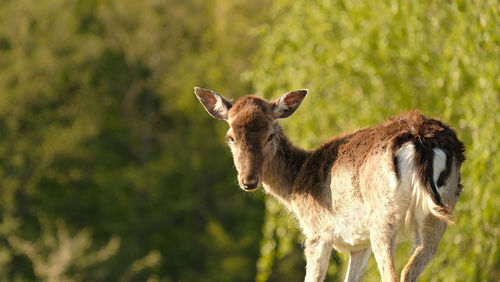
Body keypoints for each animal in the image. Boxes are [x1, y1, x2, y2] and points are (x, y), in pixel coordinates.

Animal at [194, 87, 464, 280]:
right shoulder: (359, 244)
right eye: (231, 137)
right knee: (410, 269)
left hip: (382, 215)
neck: (295, 187)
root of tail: (422, 139)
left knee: (393, 274)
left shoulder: (316, 232)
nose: (248, 181)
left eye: (270, 135)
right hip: (438, 215)